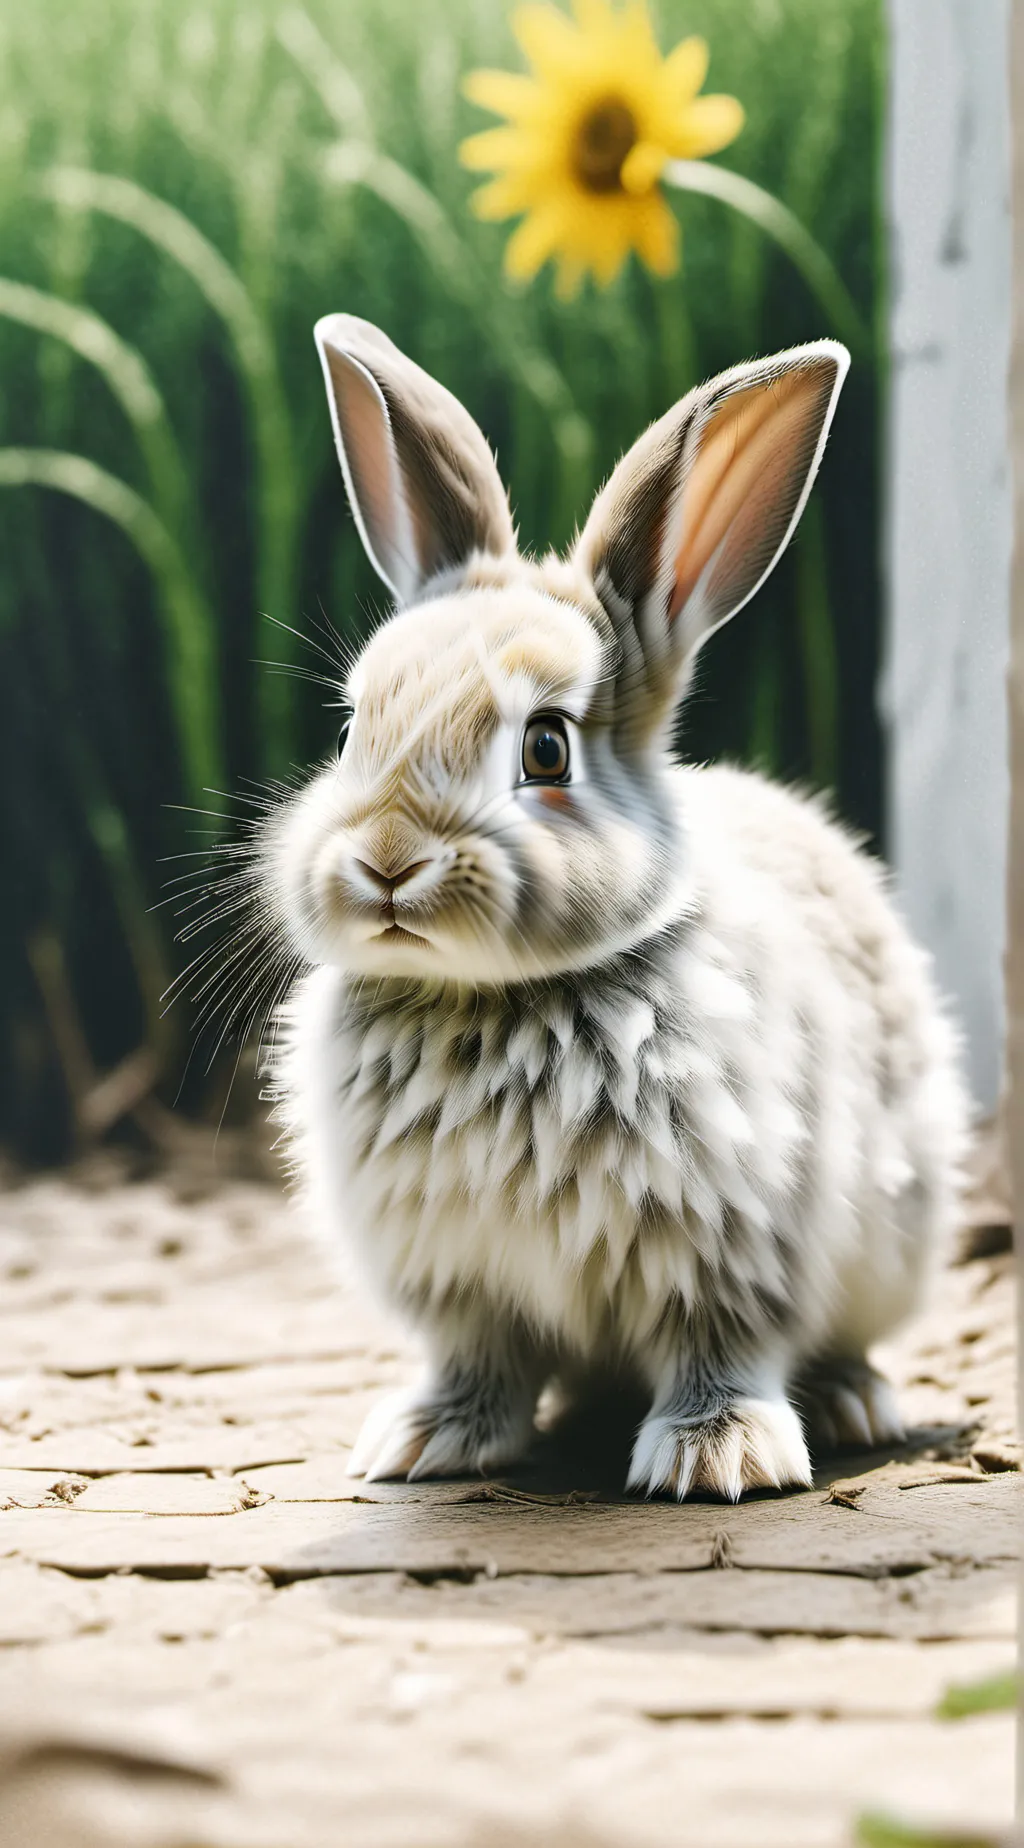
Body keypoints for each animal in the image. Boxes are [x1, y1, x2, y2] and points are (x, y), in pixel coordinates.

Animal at [263, 313, 969, 1501]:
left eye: (546, 748)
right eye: (355, 726)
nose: (388, 865)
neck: (495, 1002)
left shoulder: (730, 1250)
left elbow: (719, 1348)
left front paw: (716, 1458)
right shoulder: (460, 1283)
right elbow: (478, 1360)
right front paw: (423, 1442)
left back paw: (848, 1404)